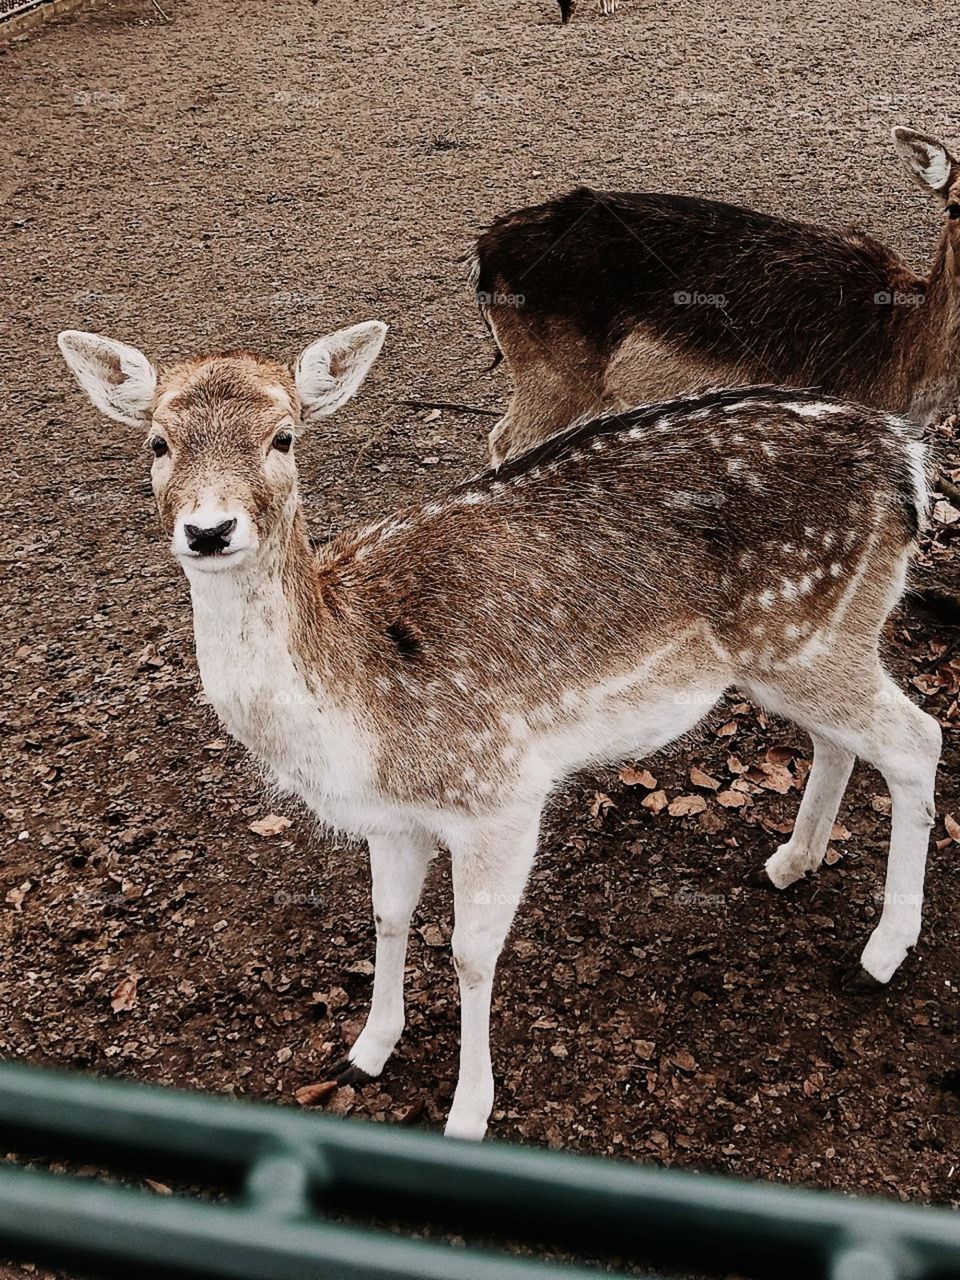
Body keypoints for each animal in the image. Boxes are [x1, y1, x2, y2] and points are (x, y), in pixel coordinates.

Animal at [58, 324, 940, 1141]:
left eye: (284, 437)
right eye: (157, 442)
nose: (210, 531)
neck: (350, 713)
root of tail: (908, 463)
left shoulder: (500, 791)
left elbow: (470, 952)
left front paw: (468, 1111)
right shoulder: (393, 817)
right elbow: (387, 917)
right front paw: (367, 1050)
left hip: (809, 634)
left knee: (917, 738)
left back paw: (882, 952)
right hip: (799, 648)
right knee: (840, 740)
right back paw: (793, 861)